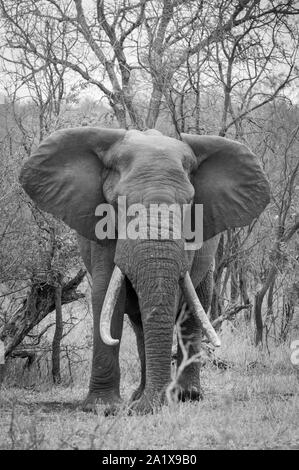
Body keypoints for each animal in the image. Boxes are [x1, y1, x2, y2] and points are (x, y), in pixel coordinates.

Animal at [19, 126, 270, 414]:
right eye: (118, 204)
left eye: (190, 203)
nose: (148, 408)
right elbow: (107, 299)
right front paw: (104, 408)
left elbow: (172, 301)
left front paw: (152, 404)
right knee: (140, 324)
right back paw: (139, 396)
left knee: (193, 310)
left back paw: (185, 396)